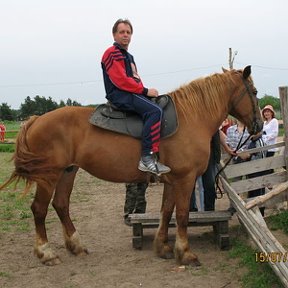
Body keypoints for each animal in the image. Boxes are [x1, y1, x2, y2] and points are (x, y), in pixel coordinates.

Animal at [0, 65, 264, 266]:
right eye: (254, 91)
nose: (259, 126)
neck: (191, 117)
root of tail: (36, 120)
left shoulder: (172, 180)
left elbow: (166, 211)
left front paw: (163, 247)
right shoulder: (186, 178)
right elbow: (181, 215)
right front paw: (185, 253)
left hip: (68, 172)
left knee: (61, 205)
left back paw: (76, 245)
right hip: (49, 176)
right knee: (39, 209)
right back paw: (46, 253)